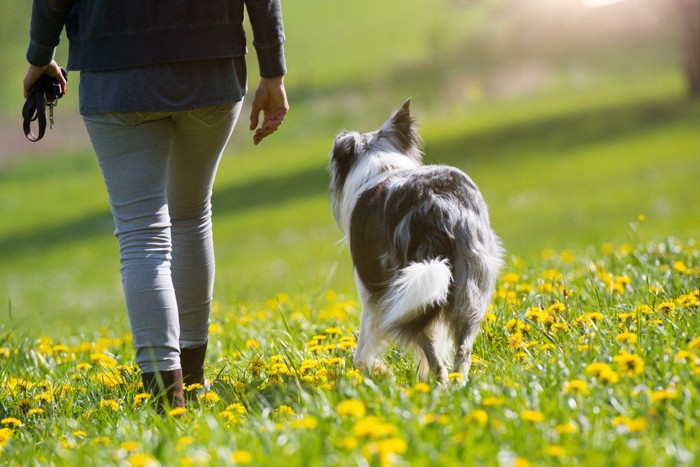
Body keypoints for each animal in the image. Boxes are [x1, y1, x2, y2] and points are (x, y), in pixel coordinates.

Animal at [328, 100, 504, 382]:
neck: (382, 166)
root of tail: (435, 201)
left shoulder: (371, 292)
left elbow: (362, 350)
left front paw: (379, 371)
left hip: (406, 289)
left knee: (430, 350)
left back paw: (437, 384)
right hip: (470, 282)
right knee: (462, 346)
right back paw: (458, 384)